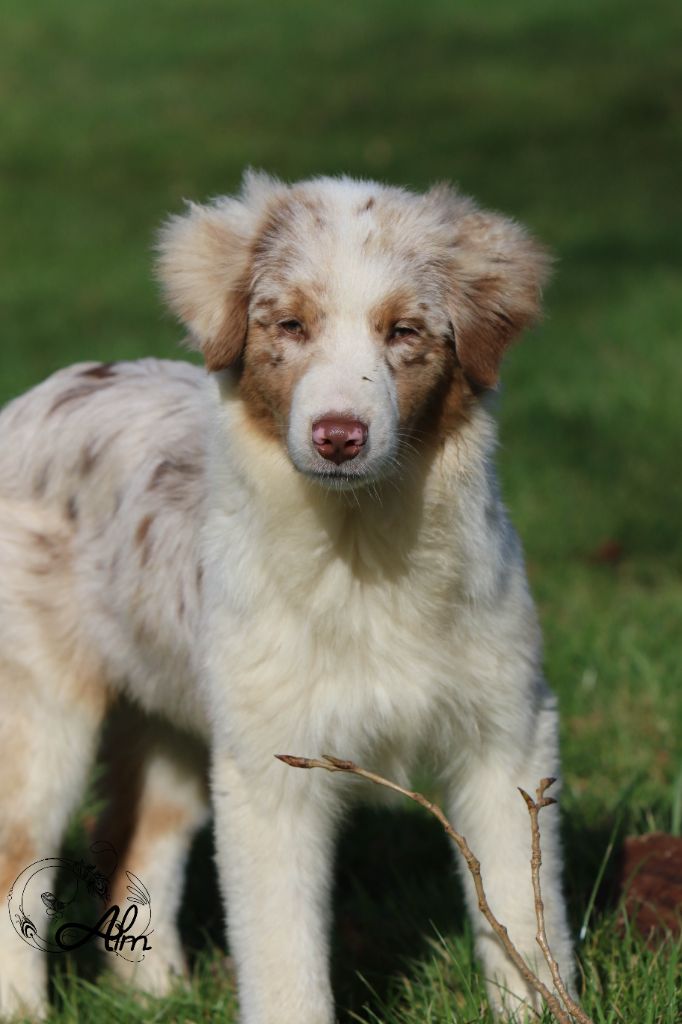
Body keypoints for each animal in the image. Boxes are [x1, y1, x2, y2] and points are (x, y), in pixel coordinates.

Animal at [0, 172, 574, 1022]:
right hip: (41, 715)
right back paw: (25, 1008)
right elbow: (282, 952)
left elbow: (525, 915)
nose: (339, 434)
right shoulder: (271, 771)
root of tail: (36, 395)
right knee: (15, 855)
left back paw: (158, 995)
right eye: (293, 325)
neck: (363, 557)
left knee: (138, 837)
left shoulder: (505, 732)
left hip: (177, 712)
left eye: (404, 331)